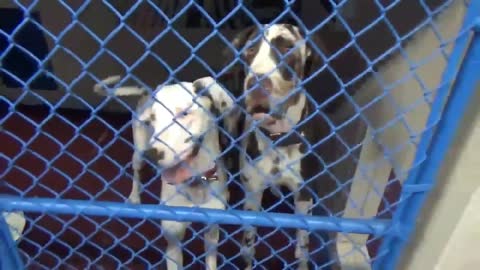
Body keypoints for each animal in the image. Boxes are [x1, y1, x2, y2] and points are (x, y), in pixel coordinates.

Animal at [94, 75, 238, 270]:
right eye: (152, 119)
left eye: (184, 113)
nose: (152, 154)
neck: (195, 182)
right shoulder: (172, 241)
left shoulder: (212, 232)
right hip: (138, 153)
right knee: (136, 172)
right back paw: (134, 197)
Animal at [225, 24, 338, 268]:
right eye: (250, 50)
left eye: (287, 47)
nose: (256, 83)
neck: (277, 139)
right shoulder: (253, 194)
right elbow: (248, 245)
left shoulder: (303, 194)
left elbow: (303, 245)